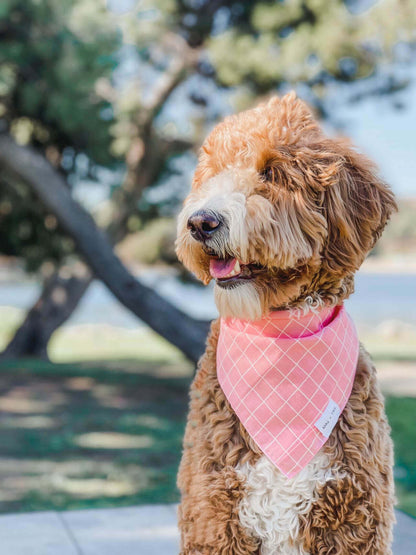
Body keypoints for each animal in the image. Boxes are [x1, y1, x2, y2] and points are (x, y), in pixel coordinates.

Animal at [176, 92, 396, 555]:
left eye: (272, 172)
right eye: (211, 175)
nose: (201, 221)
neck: (280, 339)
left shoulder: (353, 517)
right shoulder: (214, 517)